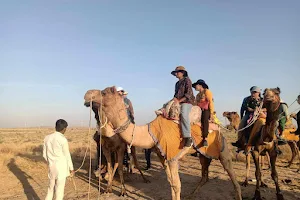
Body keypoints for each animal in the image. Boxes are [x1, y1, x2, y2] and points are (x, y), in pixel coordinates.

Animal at [83, 87, 243, 200]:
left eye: (103, 92)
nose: (87, 94)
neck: (150, 131)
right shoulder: (162, 156)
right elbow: (171, 183)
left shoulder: (172, 157)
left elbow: (177, 185)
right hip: (203, 154)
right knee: (205, 176)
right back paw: (191, 195)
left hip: (222, 148)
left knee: (232, 175)